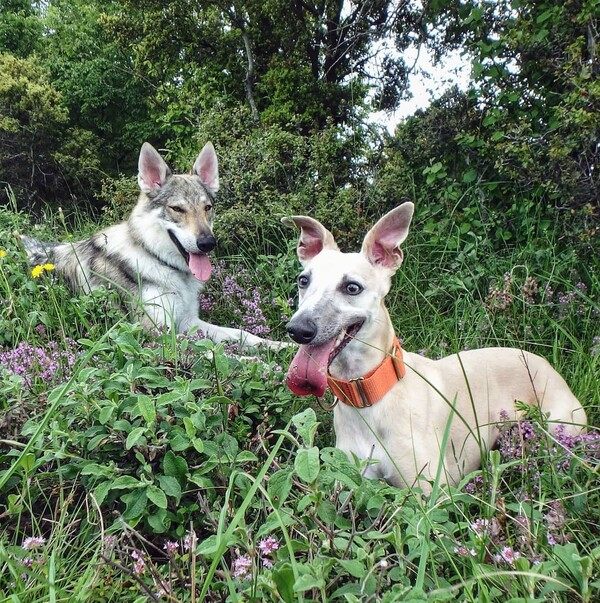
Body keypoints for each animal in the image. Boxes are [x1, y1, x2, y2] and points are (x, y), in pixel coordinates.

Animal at [284, 203, 588, 490]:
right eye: (303, 280)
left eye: (352, 287)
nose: (298, 330)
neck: (370, 394)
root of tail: (543, 362)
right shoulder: (348, 485)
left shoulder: (428, 497)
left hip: (557, 428)